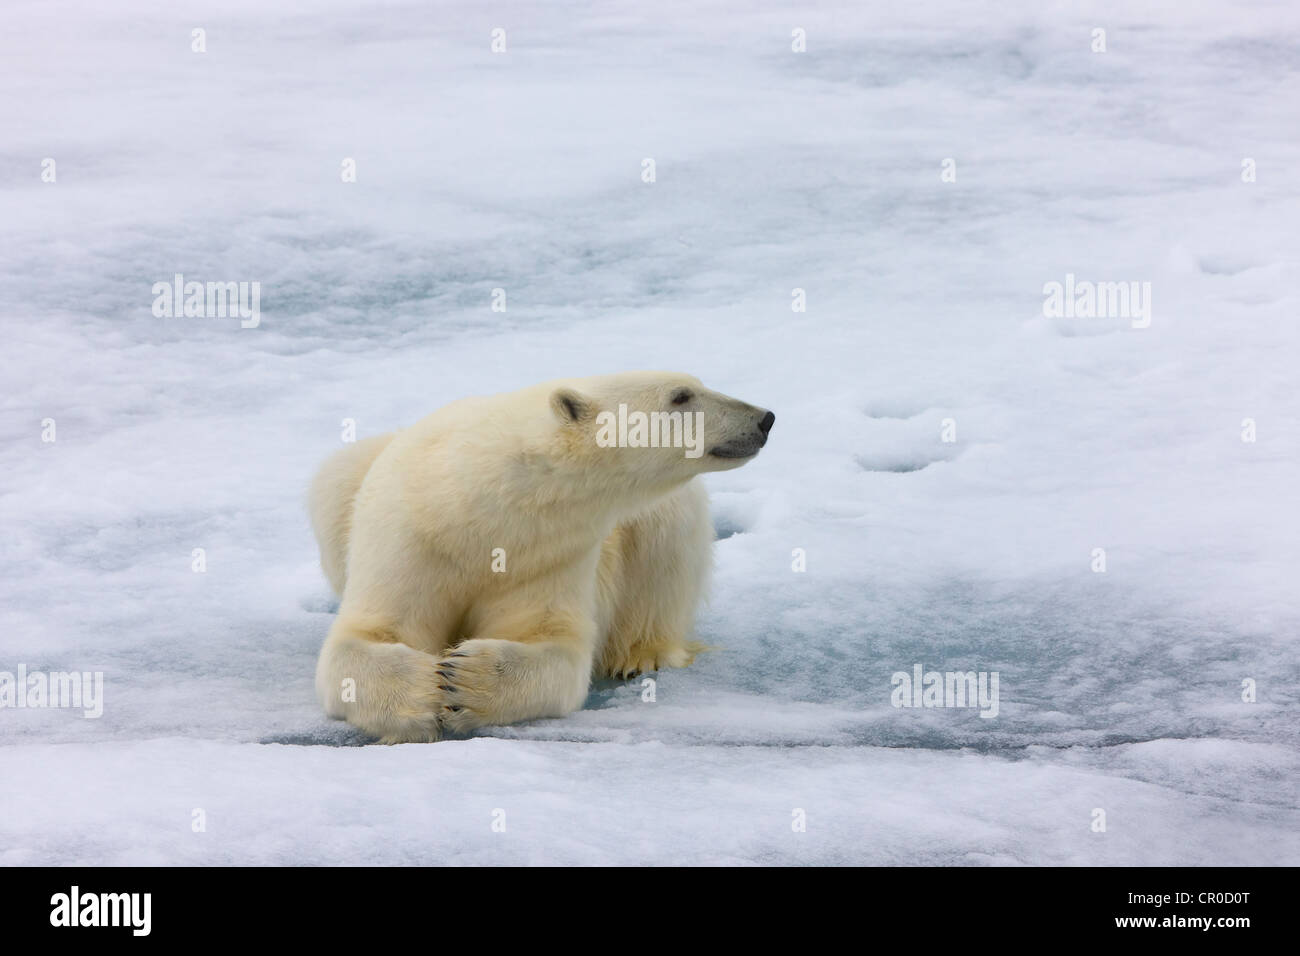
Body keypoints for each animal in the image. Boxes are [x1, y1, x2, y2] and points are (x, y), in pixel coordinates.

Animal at [309, 369, 769, 743]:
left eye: (694, 386)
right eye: (681, 395)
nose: (764, 418)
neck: (478, 513)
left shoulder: (548, 557)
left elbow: (550, 644)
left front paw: (464, 678)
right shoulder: (412, 540)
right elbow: (368, 635)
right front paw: (421, 695)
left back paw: (641, 655)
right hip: (349, 478)